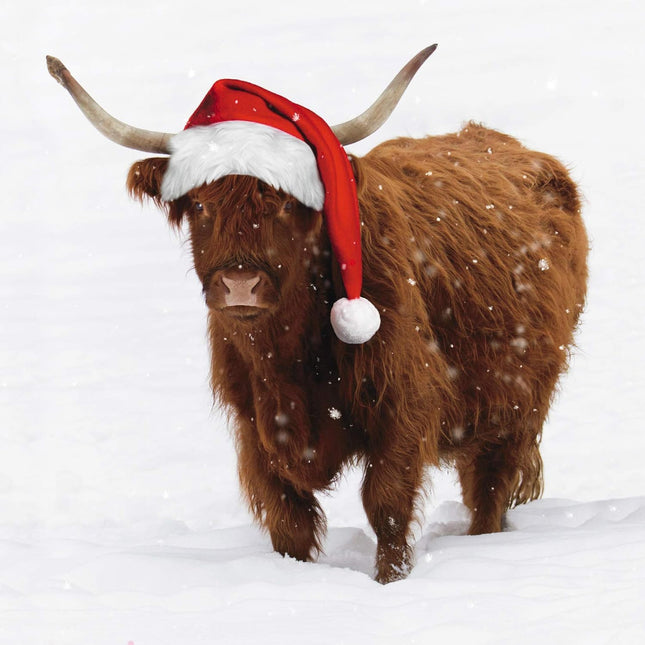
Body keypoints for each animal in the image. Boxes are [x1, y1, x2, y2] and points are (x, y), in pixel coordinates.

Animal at [47, 47, 588, 583]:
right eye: (199, 204)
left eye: (286, 204)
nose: (240, 284)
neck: (285, 358)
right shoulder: (255, 428)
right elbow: (288, 518)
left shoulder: (403, 403)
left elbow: (387, 503)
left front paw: (390, 581)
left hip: (519, 403)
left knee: (489, 488)